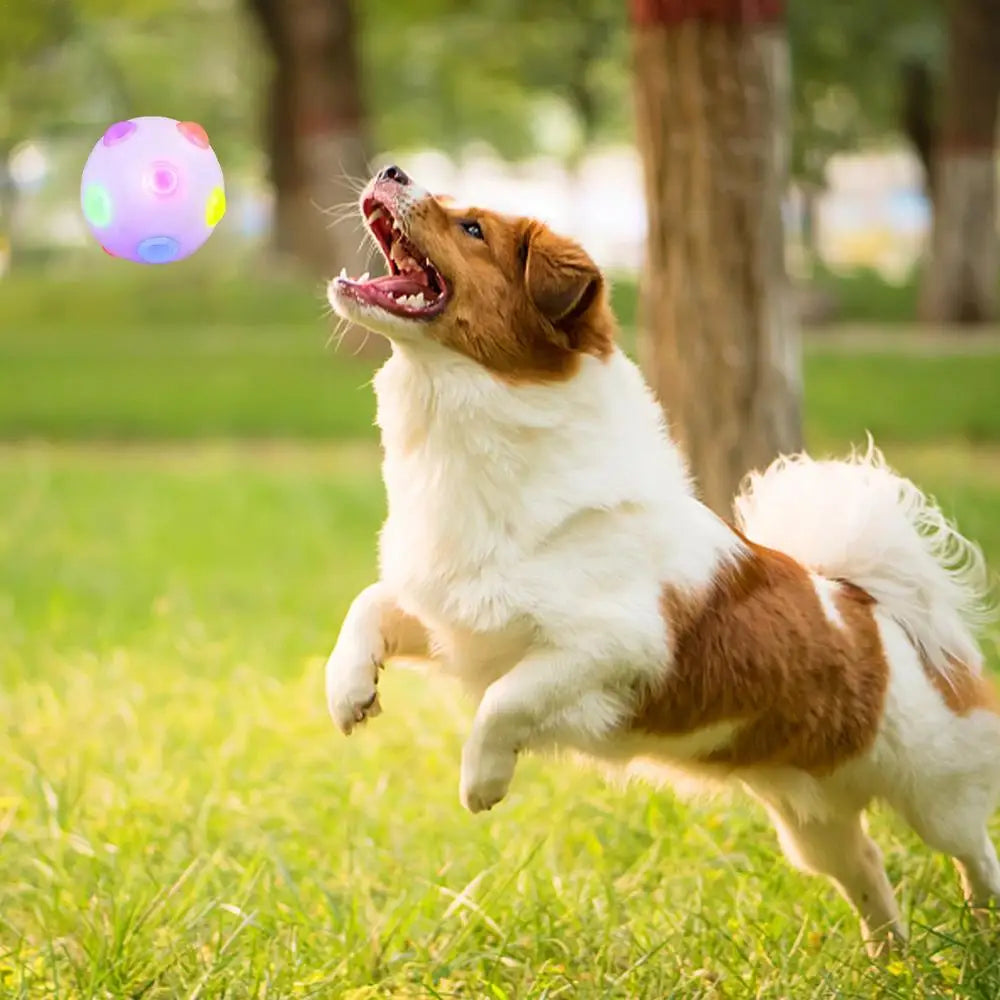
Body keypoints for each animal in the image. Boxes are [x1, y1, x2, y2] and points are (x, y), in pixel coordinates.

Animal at [326, 164, 1000, 952]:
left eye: (472, 229)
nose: (392, 170)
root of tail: (874, 607)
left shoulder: (613, 646)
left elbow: (506, 701)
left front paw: (482, 781)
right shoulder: (454, 616)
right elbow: (367, 606)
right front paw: (349, 692)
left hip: (937, 795)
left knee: (974, 852)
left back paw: (981, 928)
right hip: (812, 822)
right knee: (863, 865)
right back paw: (889, 958)